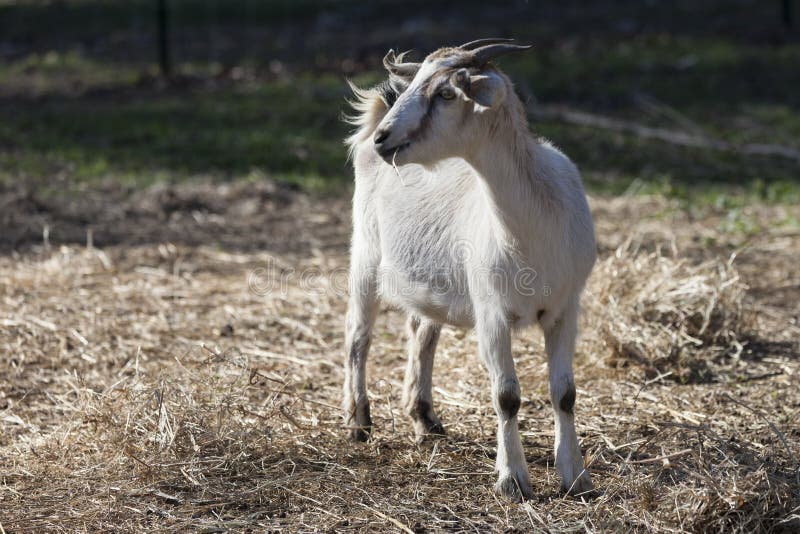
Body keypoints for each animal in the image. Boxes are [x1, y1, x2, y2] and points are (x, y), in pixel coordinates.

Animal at [343, 38, 596, 501]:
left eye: (445, 93)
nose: (386, 139)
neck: (531, 227)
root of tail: (367, 128)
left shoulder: (566, 308)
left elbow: (565, 393)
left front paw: (576, 477)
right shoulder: (491, 311)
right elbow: (507, 395)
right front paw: (513, 481)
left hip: (429, 280)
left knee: (421, 331)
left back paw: (424, 417)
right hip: (366, 255)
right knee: (358, 335)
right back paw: (358, 421)